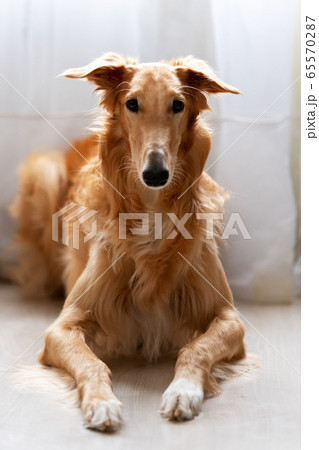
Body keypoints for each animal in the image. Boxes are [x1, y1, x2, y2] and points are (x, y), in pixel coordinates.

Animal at [11, 54, 248, 430]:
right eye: (132, 104)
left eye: (177, 105)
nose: (155, 174)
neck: (151, 214)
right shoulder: (62, 327)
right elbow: (91, 362)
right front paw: (102, 402)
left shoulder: (229, 318)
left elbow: (194, 348)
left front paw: (182, 391)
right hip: (44, 172)